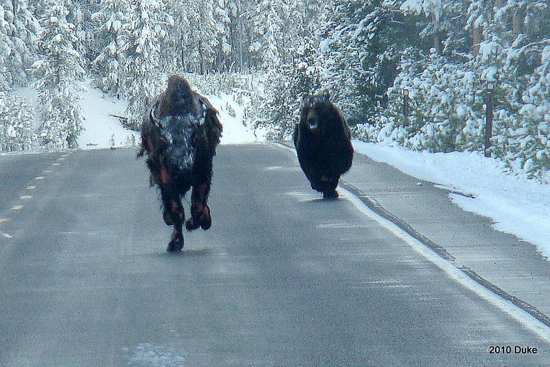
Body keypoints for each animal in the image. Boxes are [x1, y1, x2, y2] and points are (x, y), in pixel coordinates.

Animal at [139, 75, 223, 253]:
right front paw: (175, 243)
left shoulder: (203, 172)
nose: (182, 169)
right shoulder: (166, 178)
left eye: (194, 138)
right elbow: (176, 210)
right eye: (164, 140)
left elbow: (198, 205)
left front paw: (198, 222)